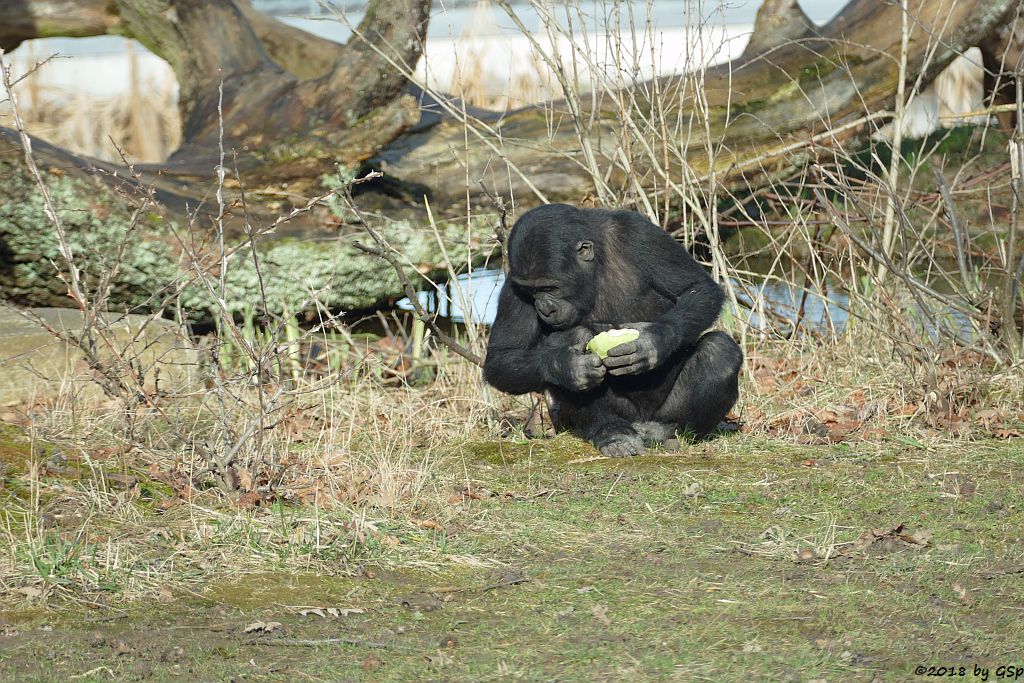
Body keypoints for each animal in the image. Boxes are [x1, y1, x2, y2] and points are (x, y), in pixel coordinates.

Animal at [483, 204, 741, 458]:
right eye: (531, 292)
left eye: (550, 288)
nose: (544, 308)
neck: (593, 272)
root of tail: (641, 420)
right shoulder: (514, 282)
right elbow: (503, 357)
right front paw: (568, 367)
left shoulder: (639, 233)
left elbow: (697, 288)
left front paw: (652, 342)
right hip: (623, 413)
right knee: (575, 337)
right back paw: (612, 431)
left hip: (662, 411)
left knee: (719, 352)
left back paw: (667, 429)